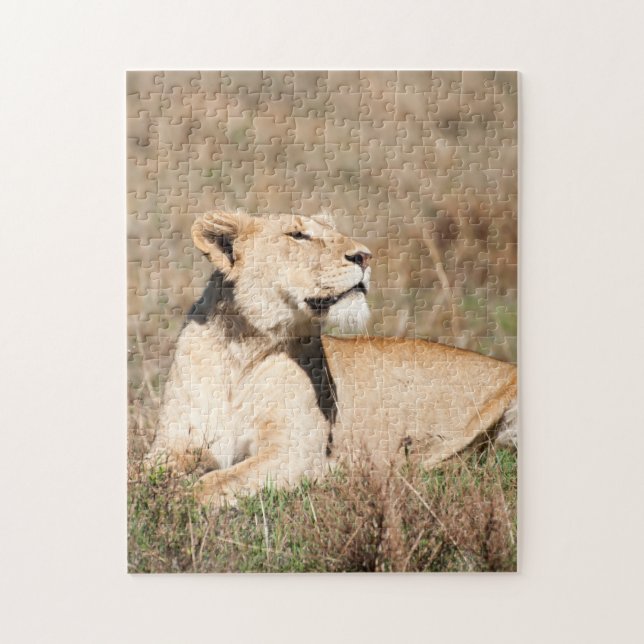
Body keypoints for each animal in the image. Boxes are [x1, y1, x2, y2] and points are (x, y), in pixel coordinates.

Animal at [148, 210, 517, 506]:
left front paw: (182, 499)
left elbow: (213, 483)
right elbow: (146, 472)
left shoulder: (297, 451)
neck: (242, 349)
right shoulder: (172, 441)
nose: (365, 256)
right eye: (297, 235)